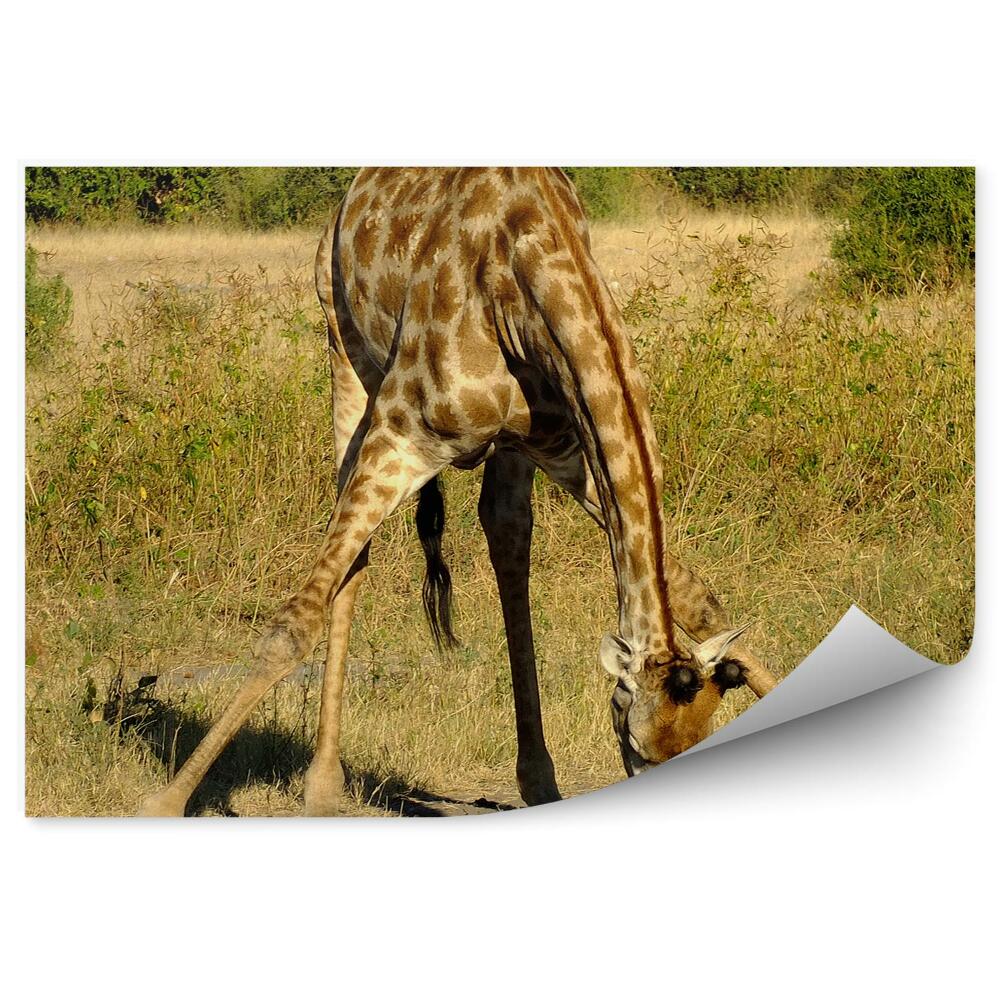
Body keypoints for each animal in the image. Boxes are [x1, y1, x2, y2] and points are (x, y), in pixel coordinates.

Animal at [138, 167, 778, 817]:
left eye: (696, 742)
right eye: (639, 749)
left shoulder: (565, 451)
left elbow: (697, 598)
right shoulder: (403, 435)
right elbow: (294, 623)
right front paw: (164, 802)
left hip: (508, 449)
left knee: (505, 535)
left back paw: (537, 781)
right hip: (345, 356)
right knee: (354, 564)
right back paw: (321, 785)